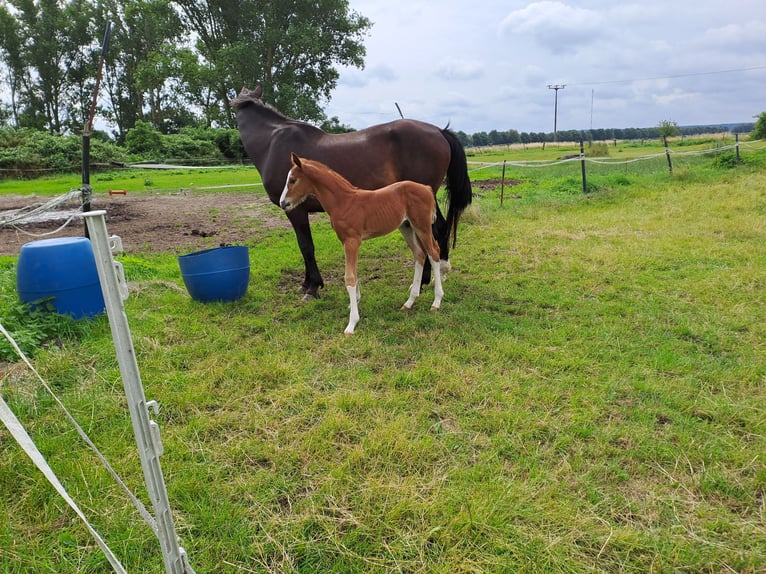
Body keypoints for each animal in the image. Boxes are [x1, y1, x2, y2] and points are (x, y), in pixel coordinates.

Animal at [230, 86, 474, 302]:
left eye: (293, 180)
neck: (272, 143)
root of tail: (439, 131)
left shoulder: (296, 210)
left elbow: (306, 246)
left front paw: (313, 287)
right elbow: (304, 246)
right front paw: (306, 283)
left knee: (434, 233)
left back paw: (425, 281)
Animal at [280, 154, 444, 338]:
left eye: (293, 180)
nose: (283, 203)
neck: (343, 202)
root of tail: (427, 188)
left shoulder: (352, 241)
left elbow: (349, 277)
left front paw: (352, 323)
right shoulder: (347, 242)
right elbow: (355, 272)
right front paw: (355, 303)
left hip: (422, 226)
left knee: (434, 252)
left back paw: (436, 301)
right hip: (406, 226)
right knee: (419, 254)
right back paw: (409, 302)